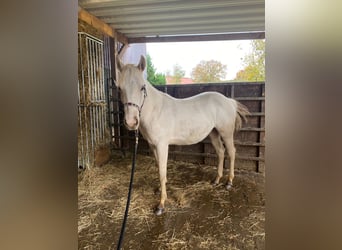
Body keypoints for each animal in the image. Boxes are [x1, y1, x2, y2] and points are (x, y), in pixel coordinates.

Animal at [116, 55, 250, 216]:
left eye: (142, 87)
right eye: (119, 88)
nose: (131, 122)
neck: (156, 110)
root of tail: (229, 101)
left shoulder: (162, 145)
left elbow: (162, 171)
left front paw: (161, 204)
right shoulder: (153, 145)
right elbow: (159, 167)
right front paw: (160, 189)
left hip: (226, 133)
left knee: (231, 152)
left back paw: (229, 182)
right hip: (213, 133)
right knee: (221, 152)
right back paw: (216, 180)